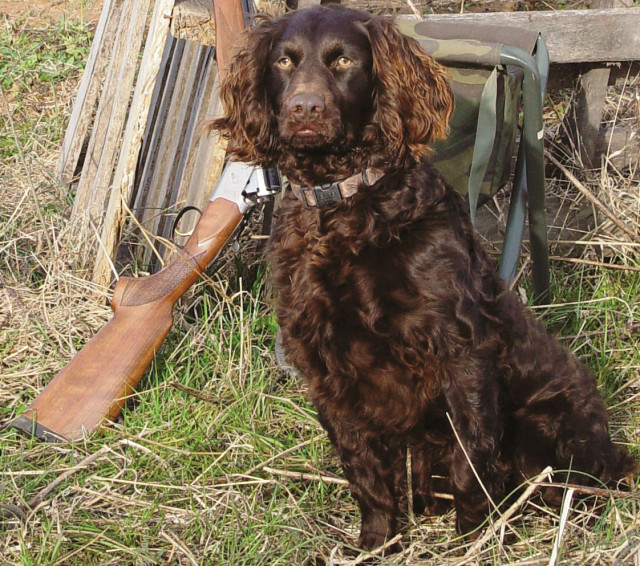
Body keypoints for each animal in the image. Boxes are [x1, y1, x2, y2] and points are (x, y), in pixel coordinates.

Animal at [215, 4, 636, 552]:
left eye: (344, 60)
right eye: (284, 61)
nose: (305, 109)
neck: (346, 207)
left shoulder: (461, 349)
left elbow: (470, 460)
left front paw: (471, 541)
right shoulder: (326, 368)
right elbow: (363, 471)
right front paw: (376, 543)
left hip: (544, 433)